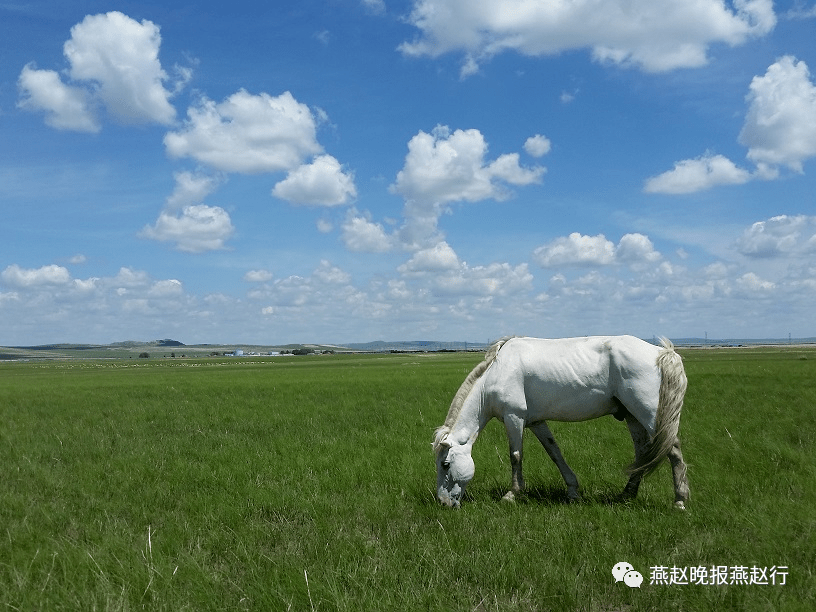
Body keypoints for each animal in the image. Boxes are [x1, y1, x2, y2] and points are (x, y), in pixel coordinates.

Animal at [434, 338, 688, 510]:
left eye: (445, 464)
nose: (443, 502)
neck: (497, 372)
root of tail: (663, 353)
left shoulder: (514, 417)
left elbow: (515, 456)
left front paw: (512, 494)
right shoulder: (536, 422)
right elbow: (554, 452)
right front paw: (572, 491)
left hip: (650, 415)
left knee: (673, 451)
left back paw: (679, 500)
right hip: (633, 417)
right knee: (642, 454)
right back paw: (626, 495)